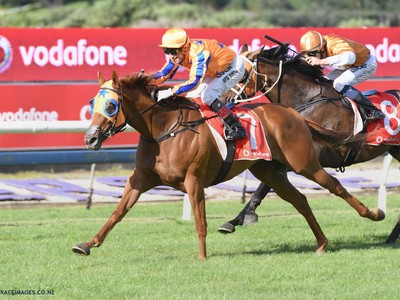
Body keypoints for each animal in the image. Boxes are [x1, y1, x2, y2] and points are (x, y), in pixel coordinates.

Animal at [72, 70, 384, 260]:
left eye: (110, 106)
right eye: (93, 103)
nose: (90, 138)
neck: (163, 129)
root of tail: (292, 113)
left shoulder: (194, 180)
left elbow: (200, 221)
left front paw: (202, 257)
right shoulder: (140, 179)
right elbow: (117, 213)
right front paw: (86, 244)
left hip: (303, 162)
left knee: (335, 186)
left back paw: (372, 213)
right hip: (269, 170)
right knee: (301, 200)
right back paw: (321, 243)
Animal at [219, 42, 400, 234]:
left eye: (241, 75)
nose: (221, 99)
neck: (307, 100)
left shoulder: (307, 157)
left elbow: (262, 187)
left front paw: (242, 217)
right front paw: (233, 221)